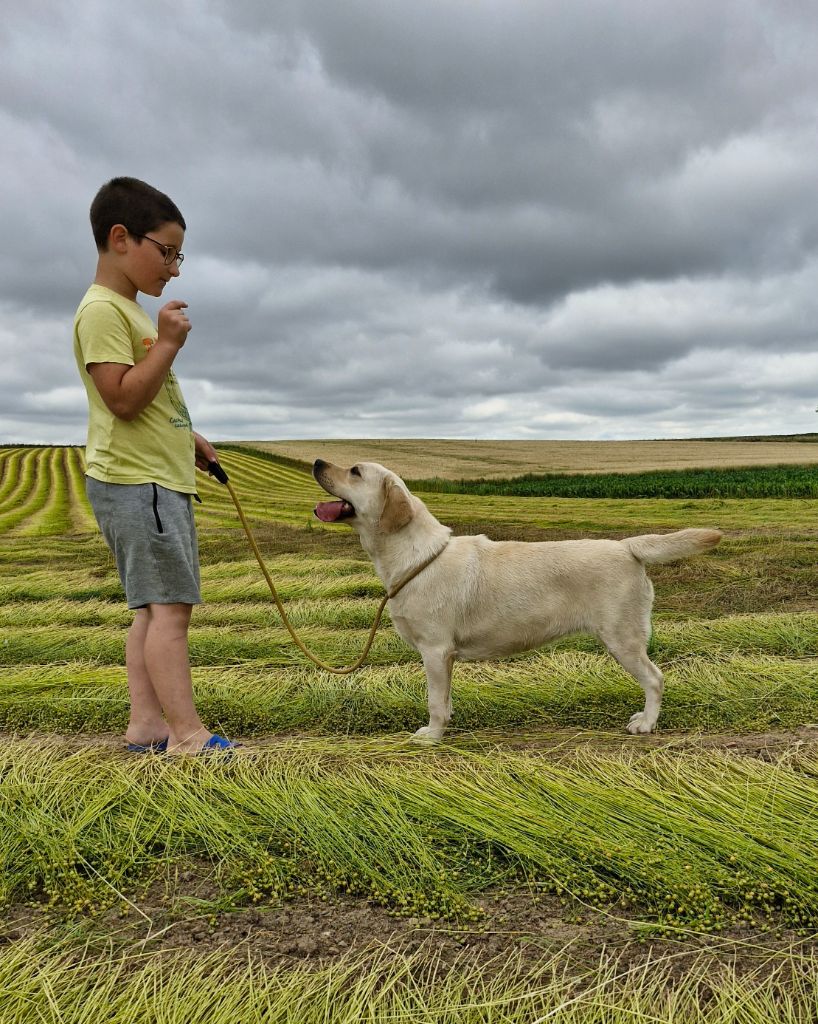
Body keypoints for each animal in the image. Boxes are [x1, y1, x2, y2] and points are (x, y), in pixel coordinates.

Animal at [311, 460, 724, 741]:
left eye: (354, 471)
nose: (316, 462)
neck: (417, 558)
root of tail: (626, 546)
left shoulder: (435, 649)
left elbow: (433, 702)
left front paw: (432, 736)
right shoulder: (445, 658)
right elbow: (445, 698)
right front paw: (446, 724)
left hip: (623, 639)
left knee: (655, 678)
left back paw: (646, 723)